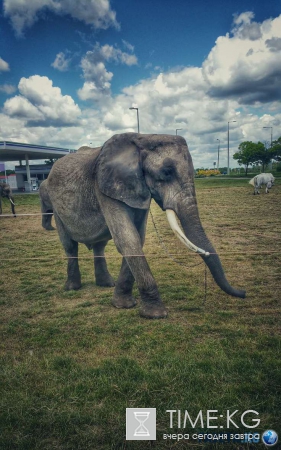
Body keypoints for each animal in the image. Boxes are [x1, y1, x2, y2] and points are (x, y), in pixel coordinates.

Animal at [40, 134, 245, 320]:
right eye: (167, 172)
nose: (243, 292)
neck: (142, 138)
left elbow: (138, 237)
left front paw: (122, 305)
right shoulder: (105, 186)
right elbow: (127, 239)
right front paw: (155, 314)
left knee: (99, 246)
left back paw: (106, 284)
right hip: (56, 205)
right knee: (69, 246)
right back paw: (72, 288)